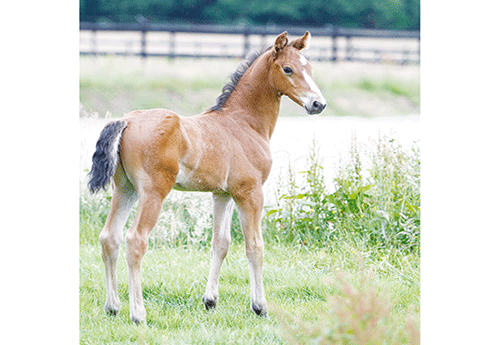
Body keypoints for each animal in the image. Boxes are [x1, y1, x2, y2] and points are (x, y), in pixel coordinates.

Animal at [88, 30, 326, 322]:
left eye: (309, 68)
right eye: (288, 69)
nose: (318, 104)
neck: (244, 123)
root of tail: (127, 121)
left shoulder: (222, 194)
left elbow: (220, 243)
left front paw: (210, 301)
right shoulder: (250, 192)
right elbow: (254, 246)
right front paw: (259, 307)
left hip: (125, 189)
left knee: (110, 237)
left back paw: (113, 307)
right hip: (153, 191)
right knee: (136, 240)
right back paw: (138, 313)